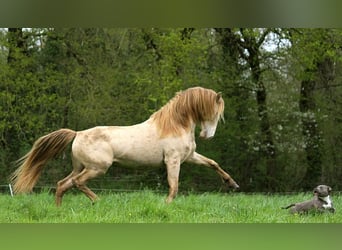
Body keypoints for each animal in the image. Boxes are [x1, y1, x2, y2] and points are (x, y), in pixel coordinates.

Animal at [11, 87, 240, 206]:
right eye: (214, 112)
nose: (207, 135)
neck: (174, 126)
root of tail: (77, 134)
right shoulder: (173, 160)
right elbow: (174, 185)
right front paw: (166, 204)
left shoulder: (189, 156)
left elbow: (213, 163)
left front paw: (232, 184)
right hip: (97, 168)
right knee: (77, 183)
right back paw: (98, 201)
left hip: (80, 166)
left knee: (62, 184)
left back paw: (59, 209)